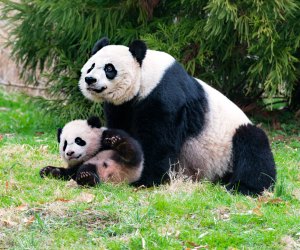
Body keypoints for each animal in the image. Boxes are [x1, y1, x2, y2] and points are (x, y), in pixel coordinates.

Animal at [78, 37, 276, 195]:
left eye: (109, 69)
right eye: (91, 66)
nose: (90, 80)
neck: (145, 76)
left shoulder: (164, 95)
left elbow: (158, 142)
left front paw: (145, 179)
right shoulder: (122, 106)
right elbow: (121, 128)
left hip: (229, 144)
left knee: (253, 148)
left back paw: (244, 187)